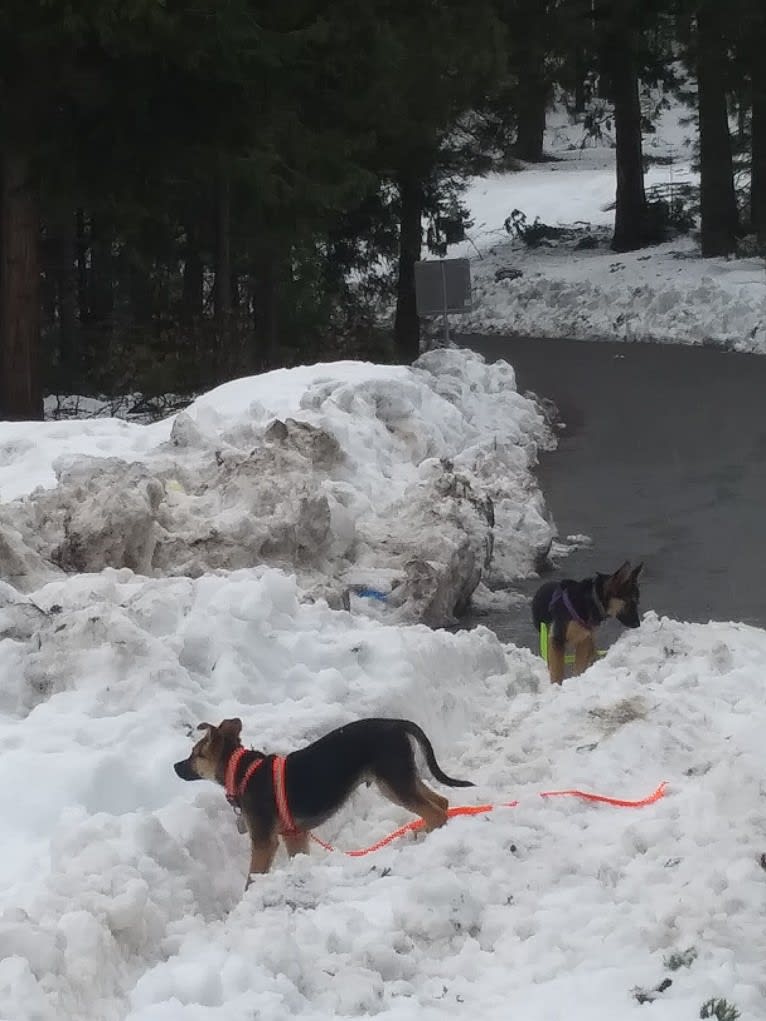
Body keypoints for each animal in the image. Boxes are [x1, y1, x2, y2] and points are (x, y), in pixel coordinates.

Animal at [174, 718, 473, 886]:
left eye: (195, 754)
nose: (175, 767)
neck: (241, 770)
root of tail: (396, 723)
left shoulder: (264, 841)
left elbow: (252, 877)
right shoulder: (294, 835)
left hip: (394, 782)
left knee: (436, 812)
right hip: (397, 780)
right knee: (441, 803)